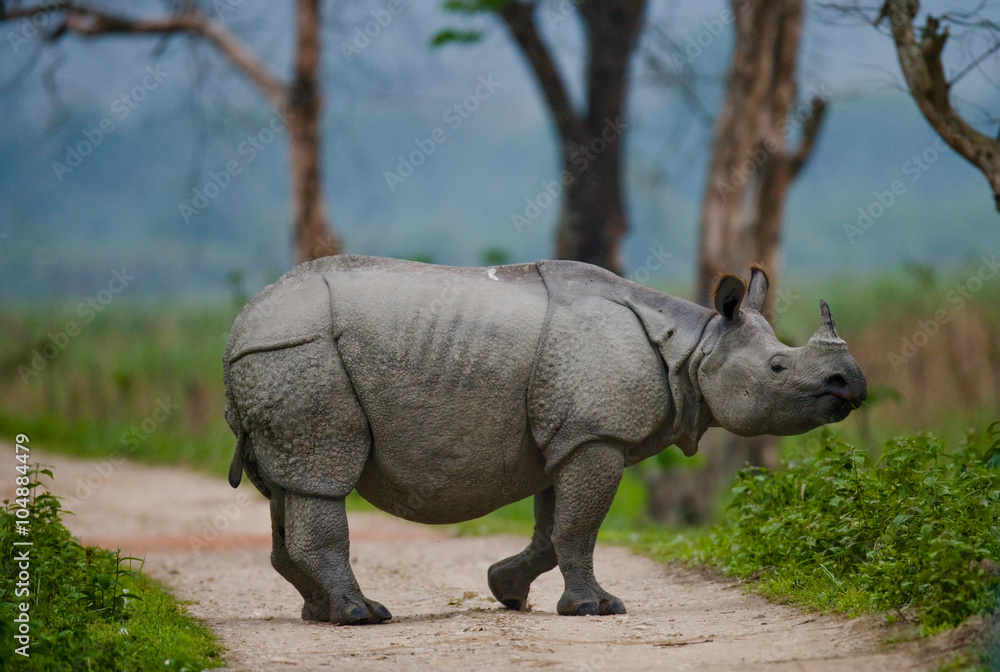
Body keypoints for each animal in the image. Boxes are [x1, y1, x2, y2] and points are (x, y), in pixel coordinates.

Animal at [223, 254, 867, 625]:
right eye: (780, 368)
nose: (852, 384)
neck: (697, 345)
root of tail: (240, 325)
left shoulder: (571, 434)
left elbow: (554, 527)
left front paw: (506, 591)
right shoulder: (596, 433)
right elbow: (579, 526)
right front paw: (594, 609)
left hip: (279, 358)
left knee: (287, 486)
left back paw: (319, 614)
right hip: (300, 353)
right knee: (323, 476)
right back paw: (362, 615)